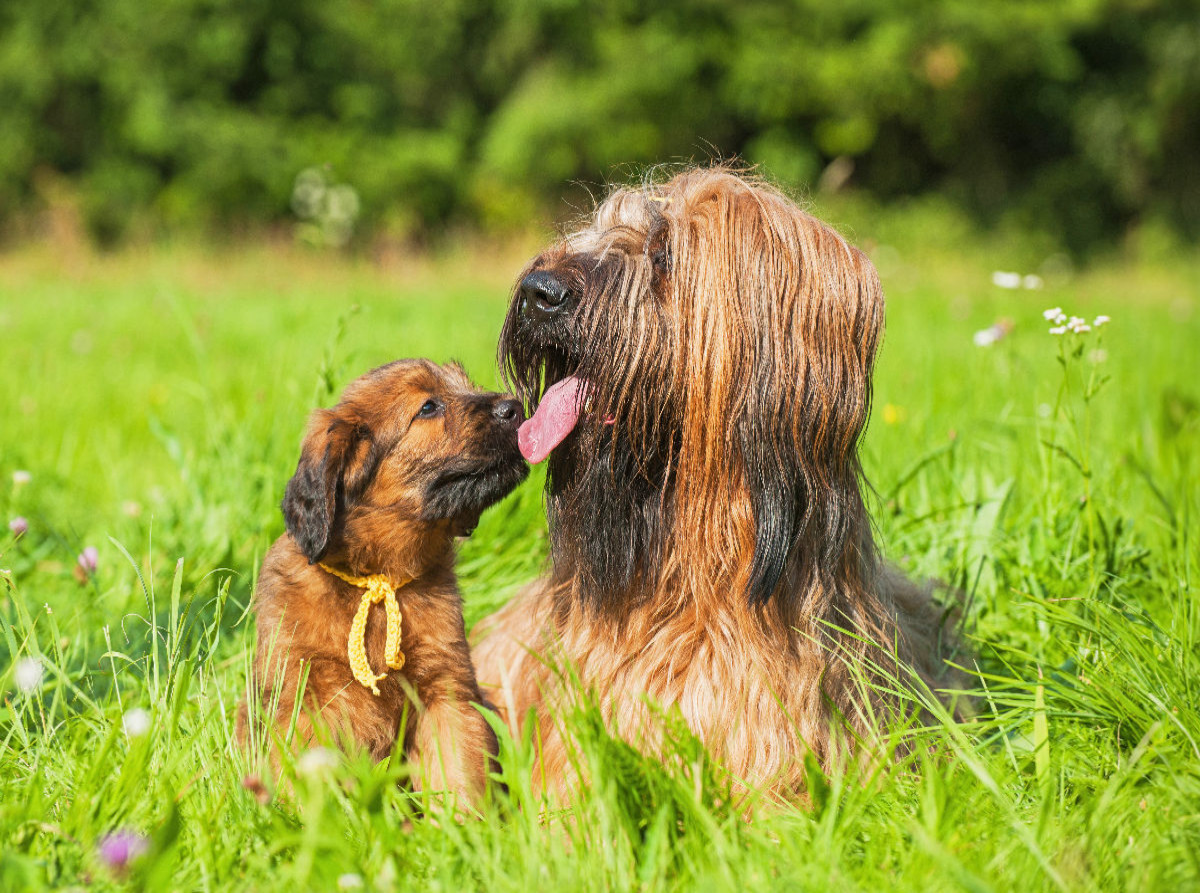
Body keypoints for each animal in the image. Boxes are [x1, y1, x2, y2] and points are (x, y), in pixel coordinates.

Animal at [238, 360, 525, 806]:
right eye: (428, 407)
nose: (518, 406)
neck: (377, 579)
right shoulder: (302, 696)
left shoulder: (447, 692)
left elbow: (460, 771)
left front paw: (466, 823)